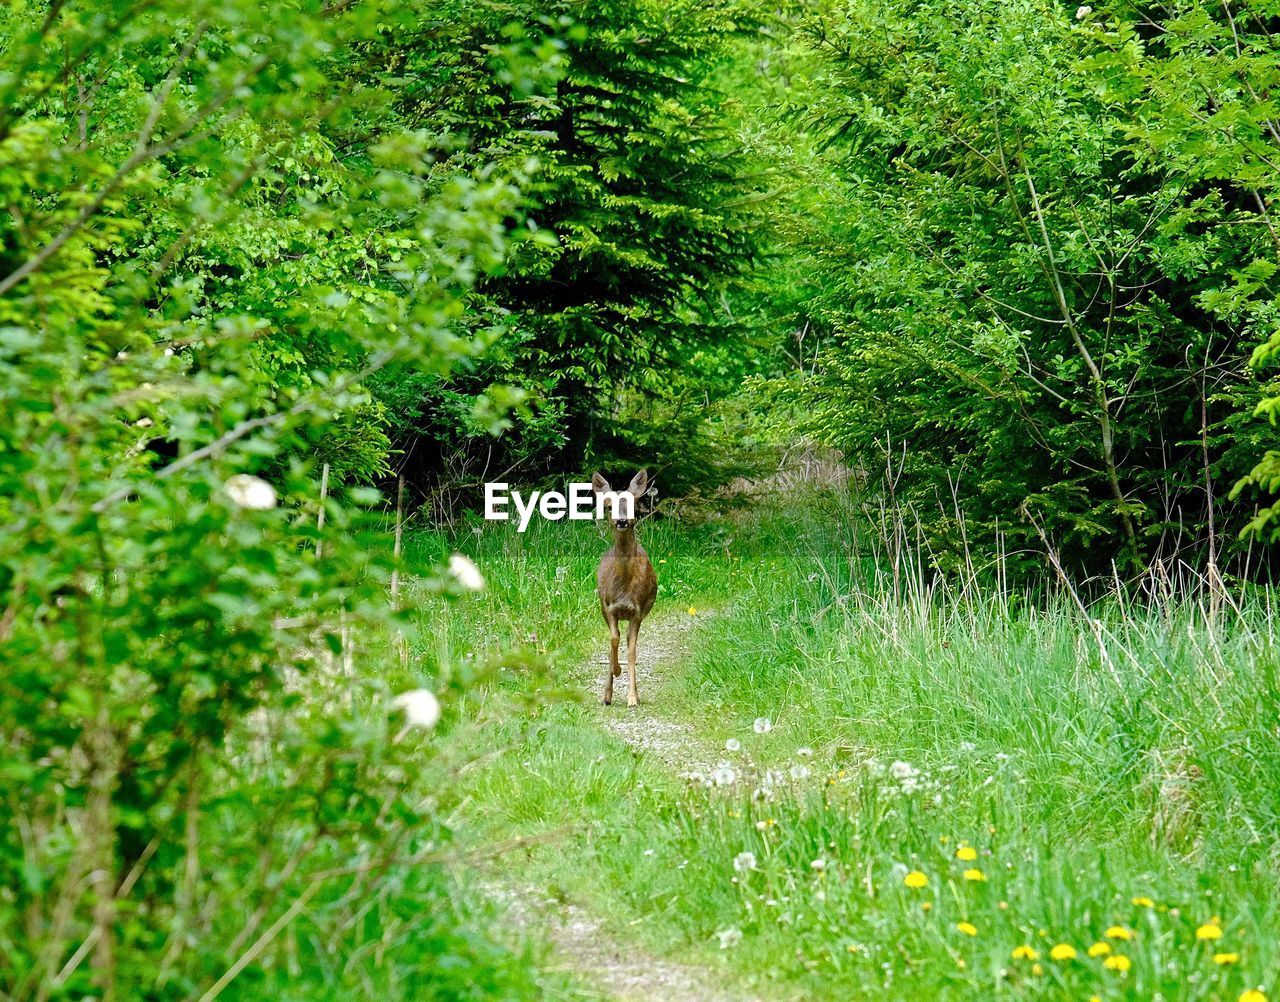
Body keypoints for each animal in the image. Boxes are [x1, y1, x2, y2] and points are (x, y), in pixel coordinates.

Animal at [588, 468, 655, 706]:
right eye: (609, 506)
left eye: (633, 505)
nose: (622, 521)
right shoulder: (609, 607)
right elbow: (613, 641)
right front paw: (616, 672)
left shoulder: (637, 610)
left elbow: (632, 651)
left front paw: (633, 697)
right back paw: (606, 695)